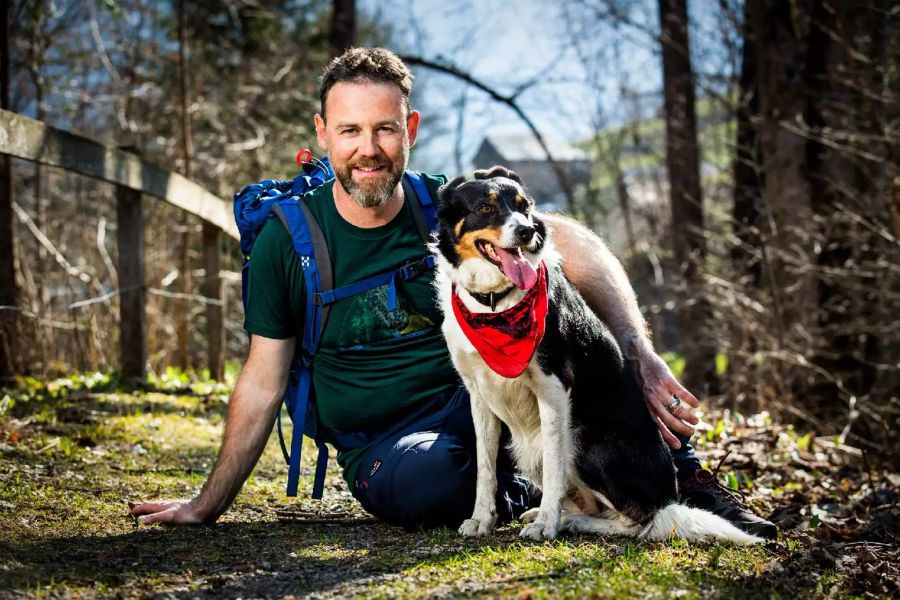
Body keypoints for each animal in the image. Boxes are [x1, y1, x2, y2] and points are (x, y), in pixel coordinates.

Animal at [432, 165, 764, 544]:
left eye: (524, 206)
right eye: (486, 209)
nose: (527, 231)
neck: (494, 305)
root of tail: (668, 498)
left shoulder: (553, 388)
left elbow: (555, 468)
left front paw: (546, 525)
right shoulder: (479, 394)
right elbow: (484, 469)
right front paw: (482, 519)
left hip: (583, 438)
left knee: (639, 521)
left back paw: (569, 521)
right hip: (528, 448)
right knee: (599, 506)